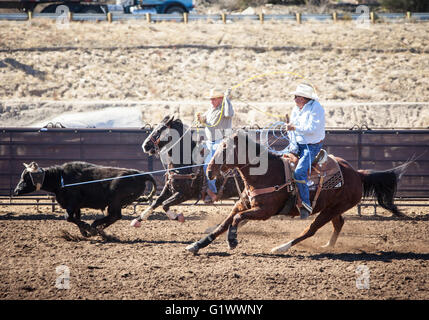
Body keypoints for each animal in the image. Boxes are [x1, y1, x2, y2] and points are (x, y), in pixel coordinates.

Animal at [185, 131, 412, 255]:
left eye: (225, 149)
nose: (209, 171)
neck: (266, 174)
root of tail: (357, 174)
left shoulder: (264, 211)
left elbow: (236, 220)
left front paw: (232, 241)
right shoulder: (242, 204)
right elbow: (223, 223)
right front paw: (196, 245)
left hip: (328, 211)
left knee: (310, 230)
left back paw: (282, 247)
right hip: (332, 208)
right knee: (339, 224)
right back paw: (327, 245)